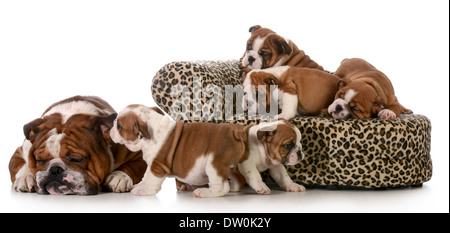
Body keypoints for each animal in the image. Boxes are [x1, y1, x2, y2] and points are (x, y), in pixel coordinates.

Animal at [8, 95, 146, 194]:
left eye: (76, 159)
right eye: (40, 160)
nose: (55, 169)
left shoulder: (139, 155)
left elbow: (132, 166)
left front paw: (119, 177)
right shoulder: (21, 151)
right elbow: (21, 165)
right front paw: (26, 178)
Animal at [110, 105, 306, 197]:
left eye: (119, 126)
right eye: (288, 145)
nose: (300, 152)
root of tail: (234, 133)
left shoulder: (157, 165)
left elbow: (280, 177)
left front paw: (144, 191)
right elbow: (146, 177)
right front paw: (140, 186)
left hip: (213, 164)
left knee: (222, 187)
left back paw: (204, 192)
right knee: (230, 184)